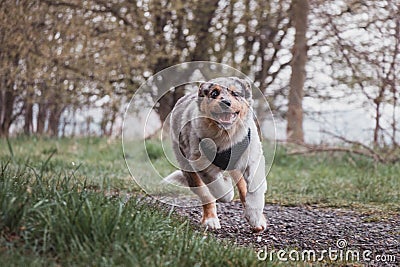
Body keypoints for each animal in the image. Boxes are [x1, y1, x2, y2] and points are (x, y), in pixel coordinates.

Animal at [164, 76, 268, 233]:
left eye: (235, 93)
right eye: (214, 93)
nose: (225, 102)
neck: (225, 135)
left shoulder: (253, 157)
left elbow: (255, 188)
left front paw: (255, 217)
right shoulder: (200, 163)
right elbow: (218, 189)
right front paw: (227, 191)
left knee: (242, 187)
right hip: (187, 167)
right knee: (206, 195)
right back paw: (210, 220)